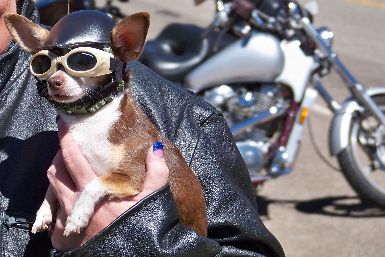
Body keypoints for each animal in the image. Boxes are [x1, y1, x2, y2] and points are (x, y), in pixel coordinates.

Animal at [3, 11, 207, 236]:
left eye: (82, 62)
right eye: (44, 65)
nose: (53, 81)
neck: (89, 119)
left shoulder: (132, 177)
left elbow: (95, 183)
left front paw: (77, 216)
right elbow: (51, 187)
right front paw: (44, 213)